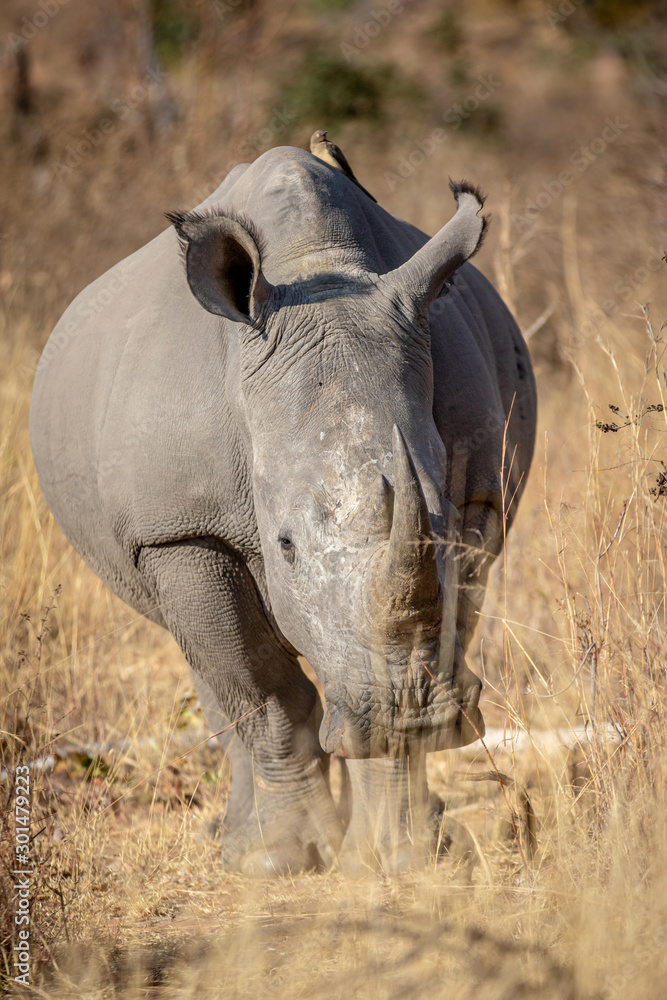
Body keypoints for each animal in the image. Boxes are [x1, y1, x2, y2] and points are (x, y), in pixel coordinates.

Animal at [30, 145, 536, 876]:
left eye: (444, 527)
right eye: (286, 545)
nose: (412, 713)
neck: (316, 267)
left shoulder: (476, 498)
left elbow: (431, 624)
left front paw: (403, 859)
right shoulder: (182, 531)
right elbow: (261, 690)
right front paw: (282, 863)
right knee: (213, 670)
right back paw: (239, 846)